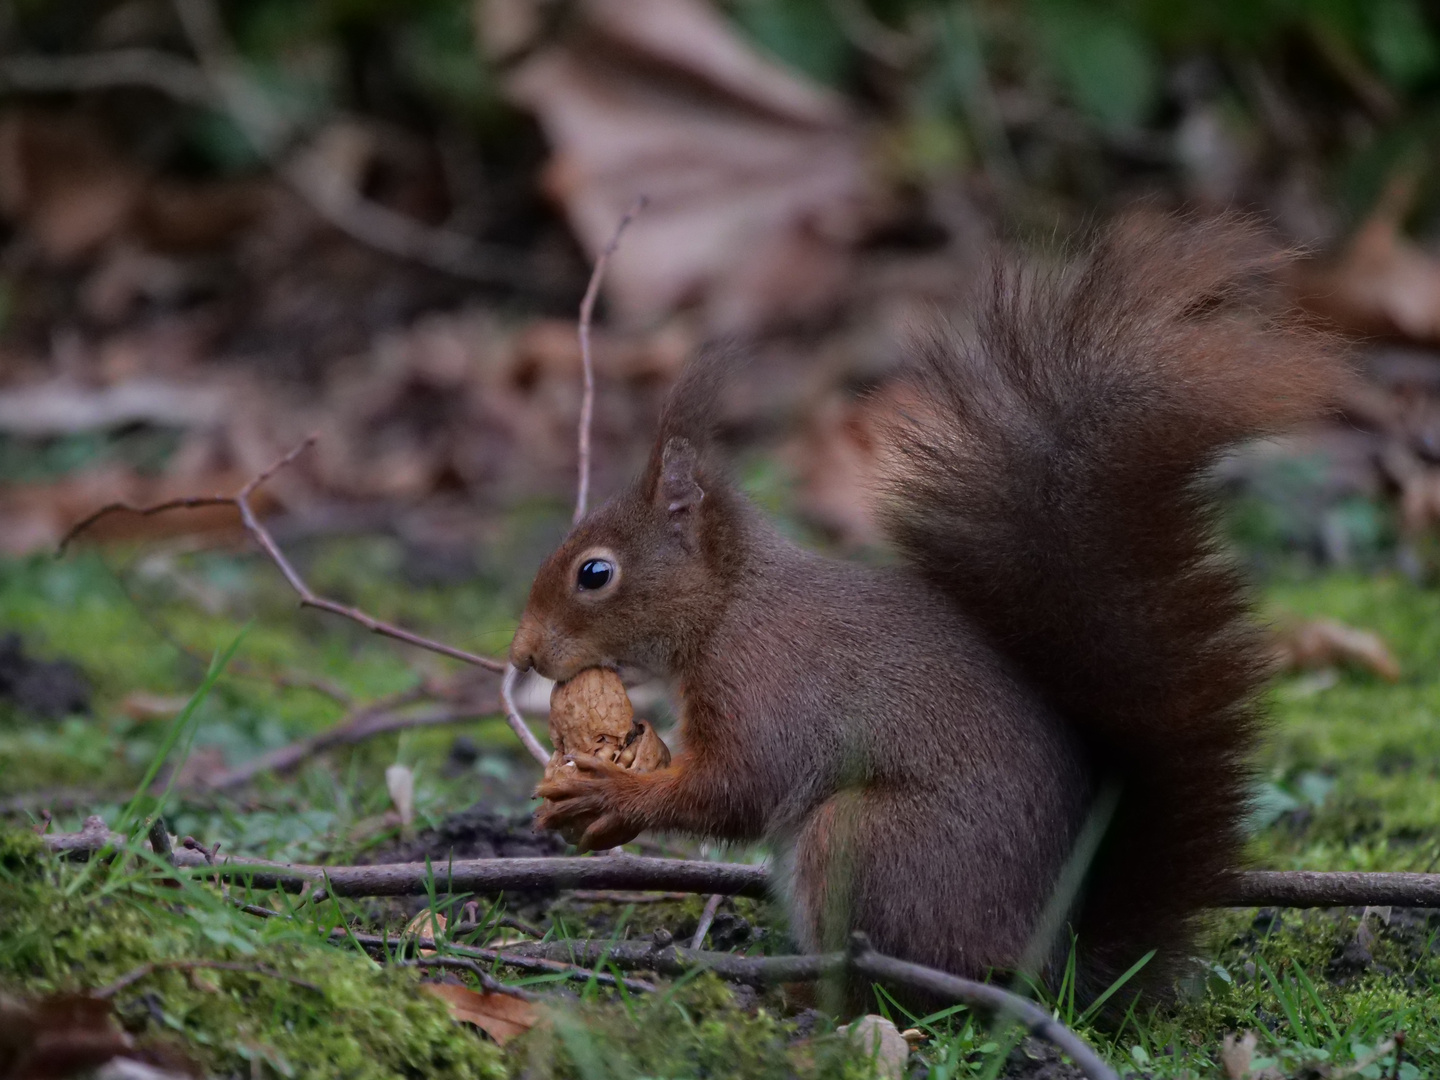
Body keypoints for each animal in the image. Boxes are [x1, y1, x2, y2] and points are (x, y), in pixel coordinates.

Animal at [512, 216, 1342, 996]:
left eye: (595, 573)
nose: (522, 653)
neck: (730, 607)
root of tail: (1054, 969)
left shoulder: (768, 689)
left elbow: (736, 791)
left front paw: (612, 791)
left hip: (862, 841)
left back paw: (814, 997)